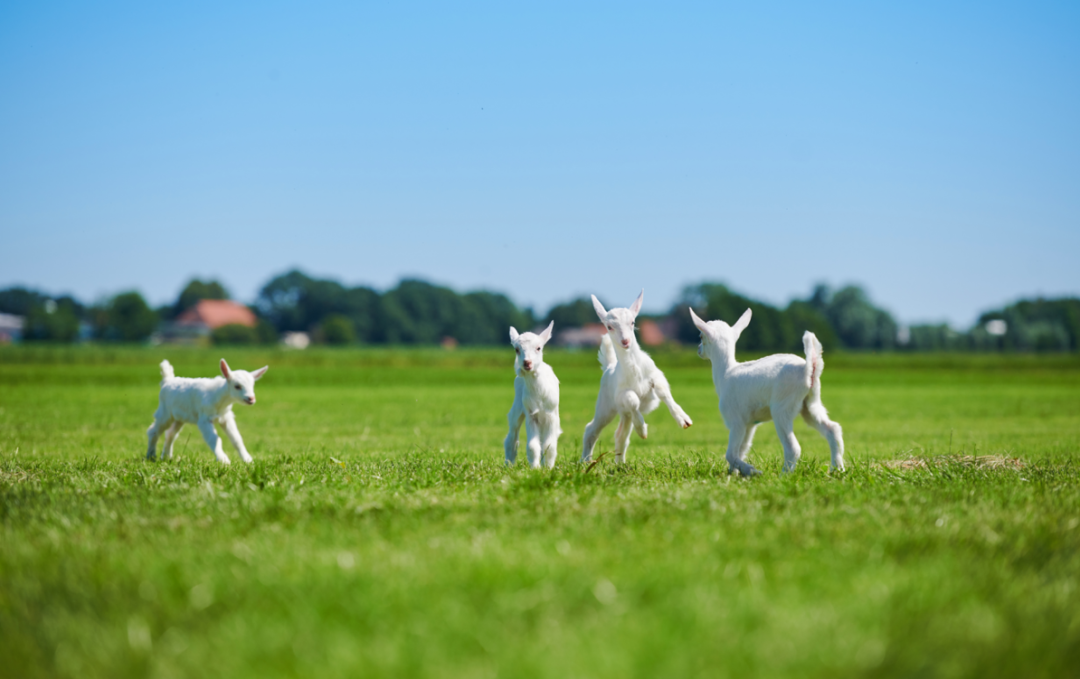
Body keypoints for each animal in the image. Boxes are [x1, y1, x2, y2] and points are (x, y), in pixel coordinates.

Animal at [504, 321, 561, 469]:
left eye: (539, 348)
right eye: (516, 349)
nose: (527, 363)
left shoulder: (551, 415)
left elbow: (549, 446)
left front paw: (548, 468)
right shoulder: (531, 415)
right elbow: (532, 446)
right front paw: (535, 468)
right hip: (517, 408)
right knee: (511, 436)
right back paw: (508, 464)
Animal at [581, 291, 693, 464]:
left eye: (632, 322)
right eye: (609, 326)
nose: (625, 341)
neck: (635, 370)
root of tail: (609, 367)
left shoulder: (656, 375)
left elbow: (663, 392)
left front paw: (683, 420)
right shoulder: (621, 394)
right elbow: (633, 399)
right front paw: (642, 429)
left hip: (623, 414)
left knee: (620, 435)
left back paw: (620, 464)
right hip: (606, 406)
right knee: (592, 428)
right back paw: (586, 461)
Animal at [689, 307, 845, 476]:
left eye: (700, 336)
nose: (698, 350)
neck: (726, 372)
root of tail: (808, 369)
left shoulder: (735, 420)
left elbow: (730, 454)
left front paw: (752, 471)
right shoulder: (749, 424)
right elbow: (741, 450)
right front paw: (734, 474)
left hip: (782, 407)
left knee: (793, 448)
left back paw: (783, 475)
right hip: (810, 403)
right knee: (832, 429)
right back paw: (837, 469)